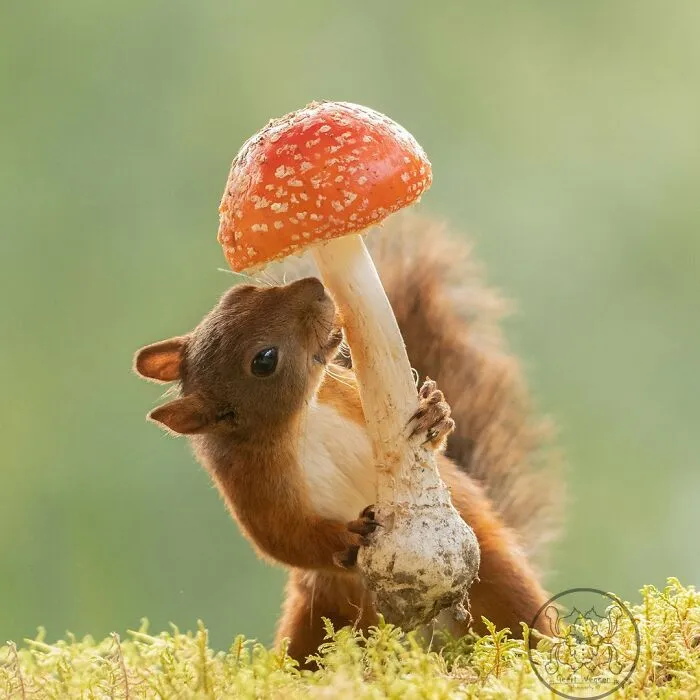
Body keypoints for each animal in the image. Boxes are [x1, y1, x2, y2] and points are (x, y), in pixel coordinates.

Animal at [133, 213, 562, 666]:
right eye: (264, 360)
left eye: (239, 293)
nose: (315, 286)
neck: (304, 418)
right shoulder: (252, 485)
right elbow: (283, 538)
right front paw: (349, 538)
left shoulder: (351, 392)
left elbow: (433, 450)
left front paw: (436, 413)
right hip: (323, 612)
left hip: (498, 580)